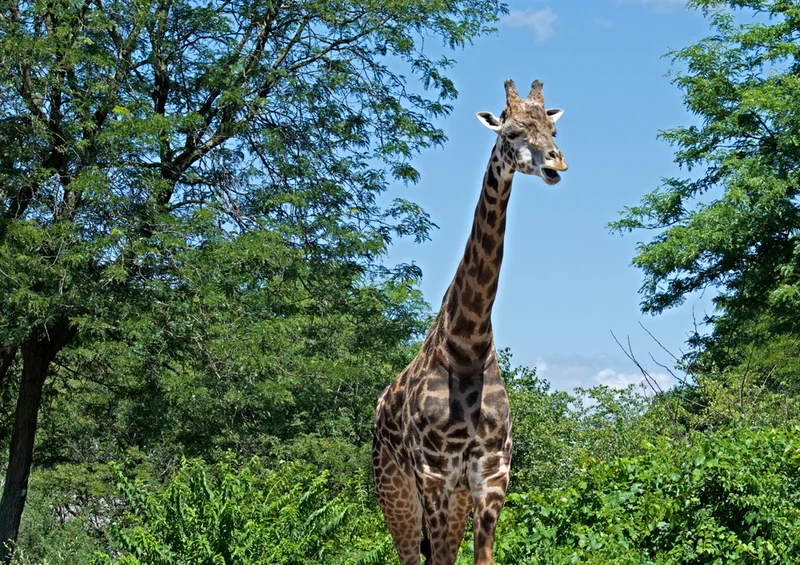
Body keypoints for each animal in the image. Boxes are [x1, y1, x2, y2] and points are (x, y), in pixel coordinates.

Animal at [372, 78, 568, 565]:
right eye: (512, 132)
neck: (467, 345)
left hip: (453, 496)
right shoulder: (435, 475)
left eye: (552, 129)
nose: (556, 161)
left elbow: (483, 558)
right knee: (409, 556)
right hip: (394, 490)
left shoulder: (492, 475)